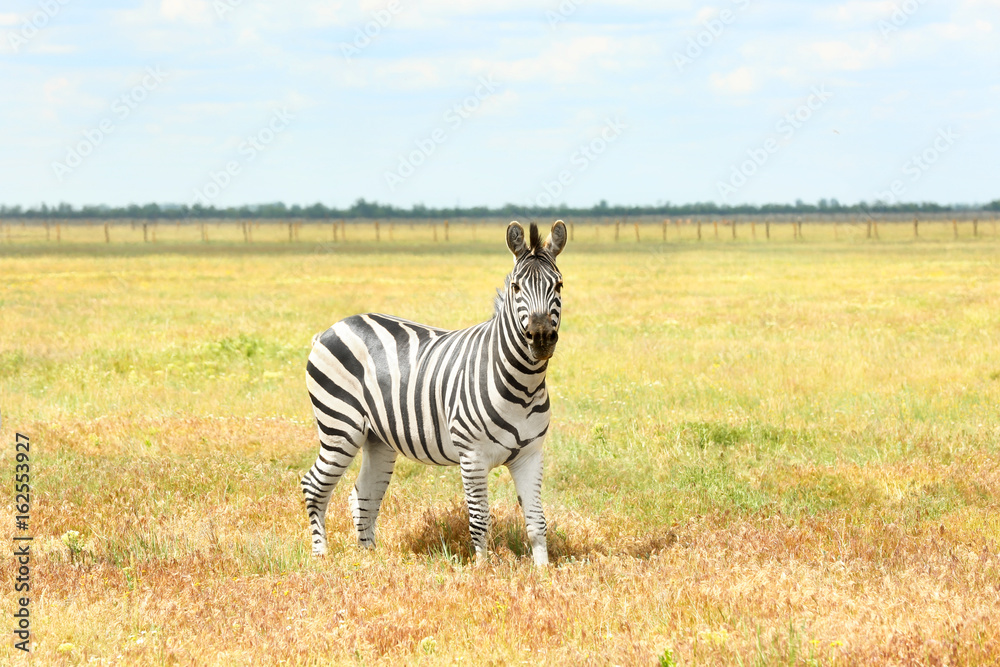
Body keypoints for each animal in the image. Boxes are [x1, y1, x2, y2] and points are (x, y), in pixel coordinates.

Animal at [301, 220, 567, 567]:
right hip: (340, 427)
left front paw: (543, 571)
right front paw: (483, 571)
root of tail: (332, 328)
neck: (523, 385)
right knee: (314, 486)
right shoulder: (472, 456)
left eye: (558, 285)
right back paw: (321, 555)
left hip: (377, 437)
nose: (541, 337)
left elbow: (537, 521)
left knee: (363, 496)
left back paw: (369, 560)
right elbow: (480, 519)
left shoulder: (530, 454)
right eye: (516, 287)